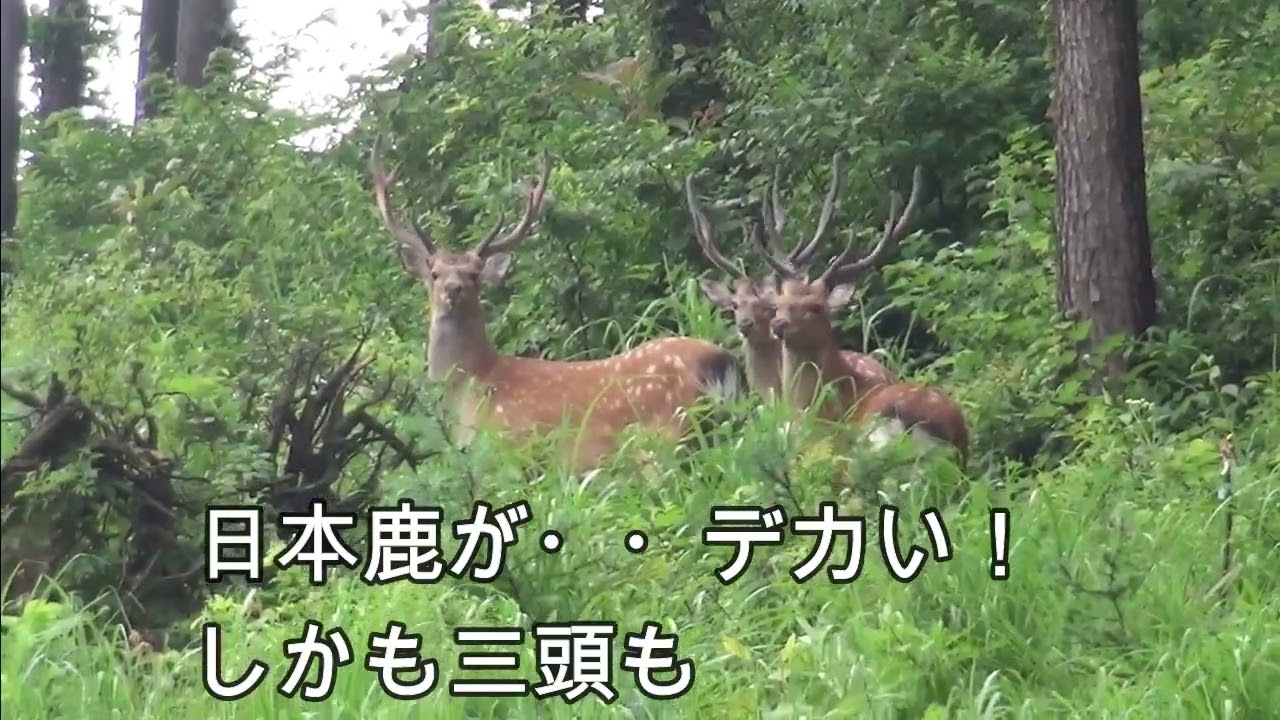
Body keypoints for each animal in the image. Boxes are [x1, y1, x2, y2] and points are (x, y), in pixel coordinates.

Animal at [368, 137, 745, 474]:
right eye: (434, 273)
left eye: (475, 274)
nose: (453, 289)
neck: (471, 388)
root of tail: (721, 361)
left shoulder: (510, 454)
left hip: (664, 436)